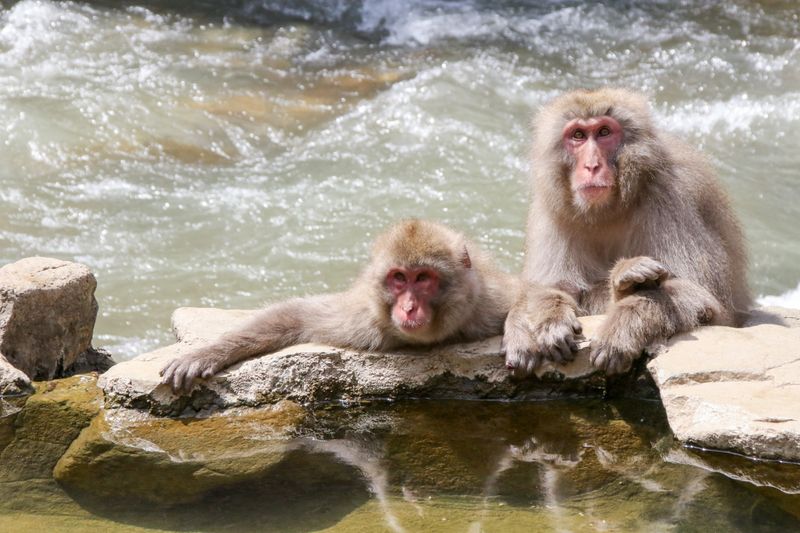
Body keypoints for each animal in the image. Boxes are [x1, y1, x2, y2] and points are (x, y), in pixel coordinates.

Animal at [161, 219, 521, 392]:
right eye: (399, 278)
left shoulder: (484, 306)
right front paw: (204, 354)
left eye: (423, 279)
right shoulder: (365, 322)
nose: (407, 308)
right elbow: (299, 317)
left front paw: (522, 339)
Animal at [503, 88, 751, 376]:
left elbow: (703, 297)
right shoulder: (551, 209)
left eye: (604, 132)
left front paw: (623, 325)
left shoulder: (672, 194)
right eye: (578, 135)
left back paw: (625, 283)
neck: (610, 209)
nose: (591, 166)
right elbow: (553, 287)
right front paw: (550, 317)